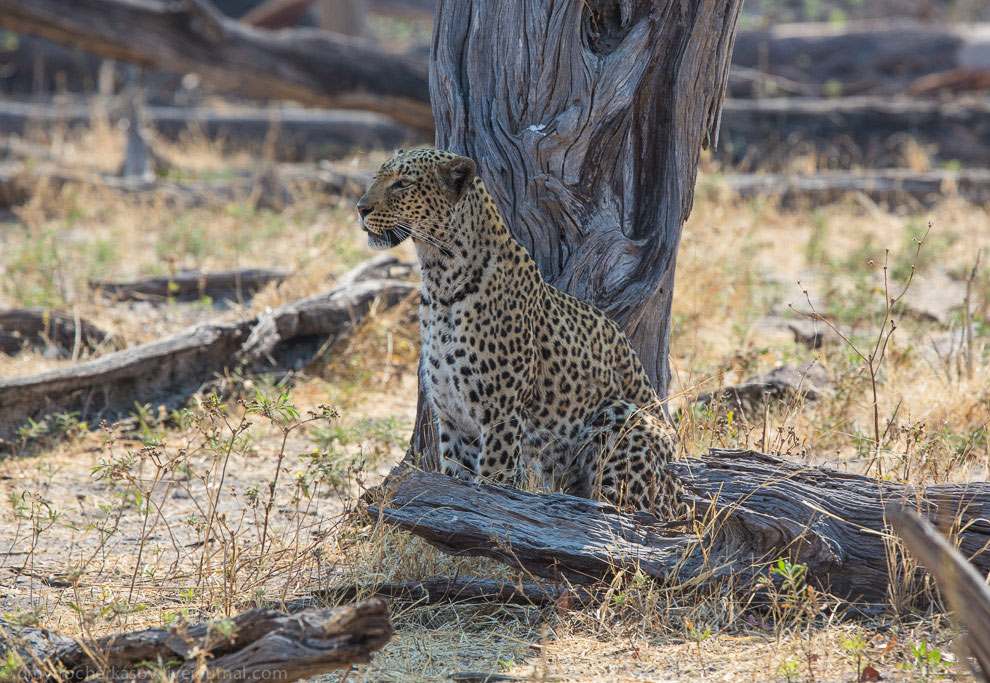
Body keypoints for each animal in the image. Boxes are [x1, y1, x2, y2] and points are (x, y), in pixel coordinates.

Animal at [356, 148, 688, 520]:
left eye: (403, 184)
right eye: (376, 178)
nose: (360, 208)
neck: (439, 279)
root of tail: (682, 495)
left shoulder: (500, 416)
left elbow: (491, 484)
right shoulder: (455, 421)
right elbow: (456, 481)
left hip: (620, 415)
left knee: (629, 513)